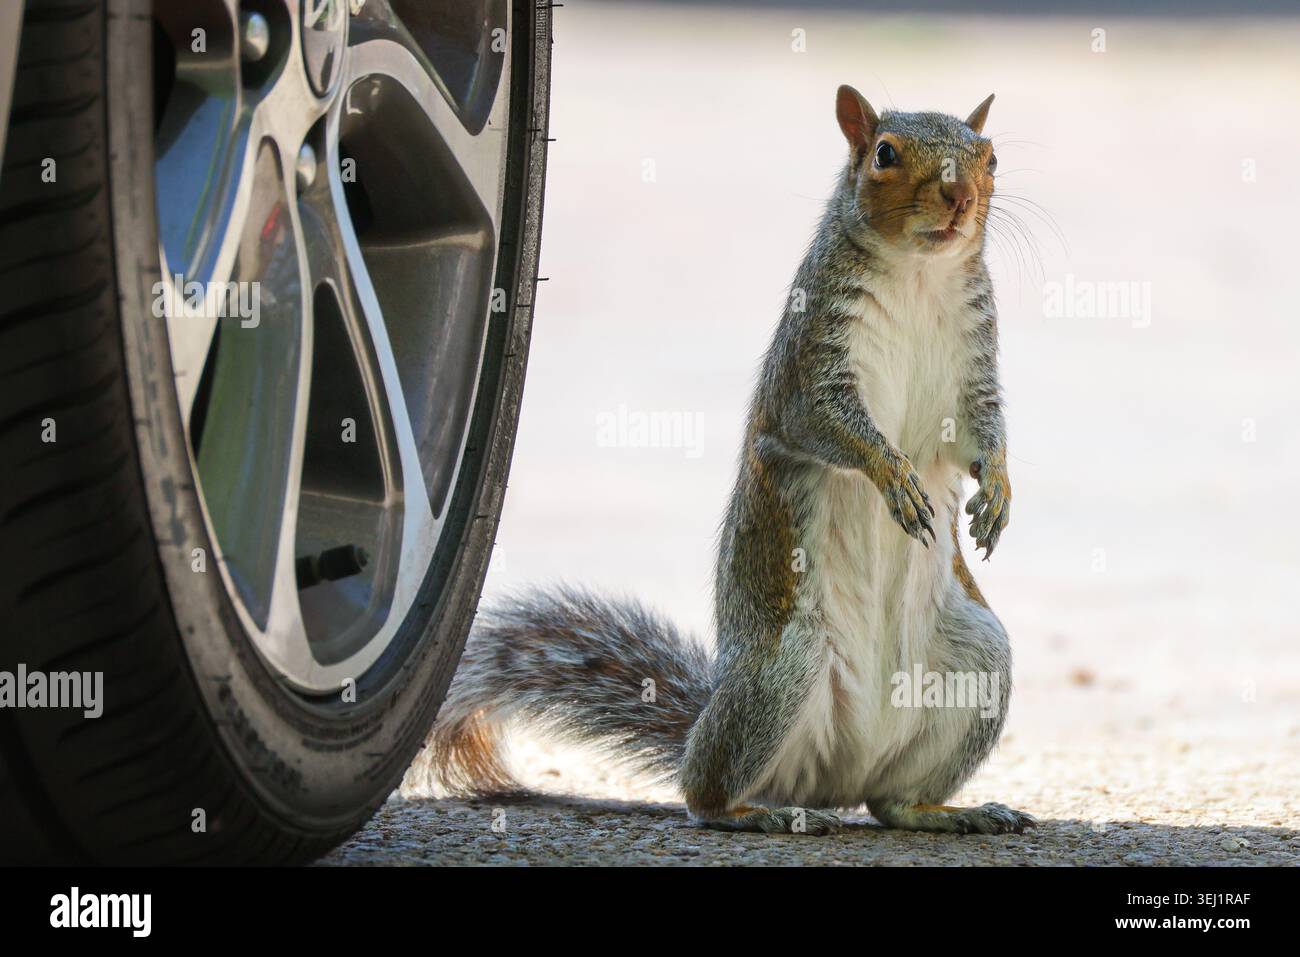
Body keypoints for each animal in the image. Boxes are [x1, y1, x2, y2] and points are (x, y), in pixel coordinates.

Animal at [411, 85, 1035, 836]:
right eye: (884, 153)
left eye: (991, 156)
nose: (959, 198)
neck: (919, 274)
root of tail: (834, 778)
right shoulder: (808, 366)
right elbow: (831, 425)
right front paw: (893, 477)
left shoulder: (973, 371)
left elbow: (983, 434)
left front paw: (998, 492)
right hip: (782, 668)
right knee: (703, 793)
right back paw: (752, 812)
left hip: (979, 660)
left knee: (889, 801)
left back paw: (942, 811)